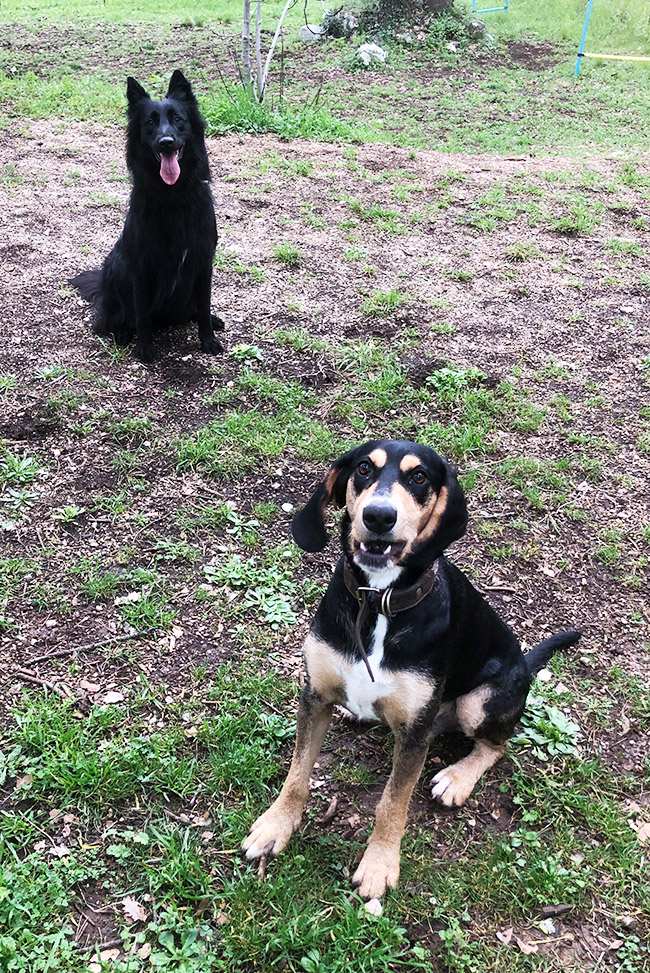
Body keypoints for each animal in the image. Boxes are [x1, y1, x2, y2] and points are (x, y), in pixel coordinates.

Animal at [71, 70, 224, 363]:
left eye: (178, 119)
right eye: (150, 122)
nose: (166, 143)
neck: (173, 195)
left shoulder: (202, 260)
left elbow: (203, 302)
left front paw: (208, 338)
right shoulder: (140, 266)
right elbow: (141, 313)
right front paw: (143, 348)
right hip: (115, 265)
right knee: (115, 316)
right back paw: (121, 332)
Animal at [242, 439, 581, 900]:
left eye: (419, 477)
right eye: (363, 469)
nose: (378, 516)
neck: (377, 600)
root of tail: (524, 666)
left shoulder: (416, 734)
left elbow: (392, 804)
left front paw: (379, 865)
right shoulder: (314, 696)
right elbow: (297, 774)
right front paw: (275, 826)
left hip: (479, 702)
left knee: (498, 745)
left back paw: (457, 778)